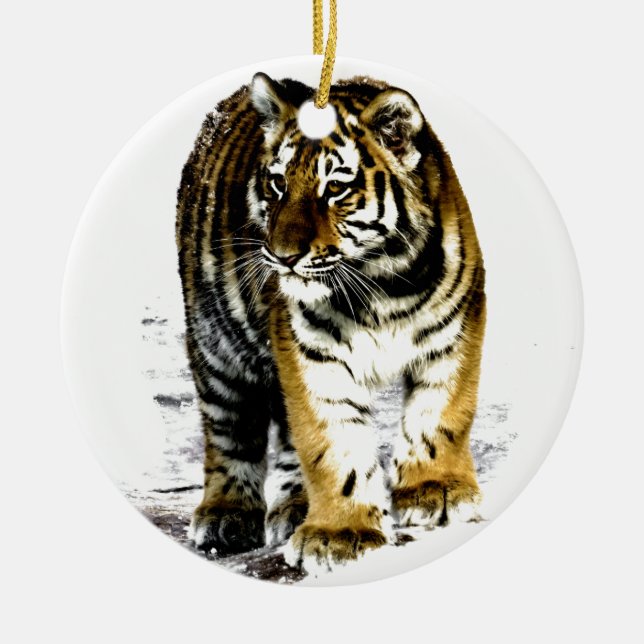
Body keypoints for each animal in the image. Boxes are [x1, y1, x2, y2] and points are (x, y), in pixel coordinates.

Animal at [175, 72, 486, 573]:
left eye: (335, 189)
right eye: (277, 184)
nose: (282, 257)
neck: (383, 282)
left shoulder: (455, 328)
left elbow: (441, 413)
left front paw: (436, 491)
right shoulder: (310, 352)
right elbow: (332, 441)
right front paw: (341, 534)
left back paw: (295, 507)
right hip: (215, 343)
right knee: (229, 429)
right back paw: (227, 515)